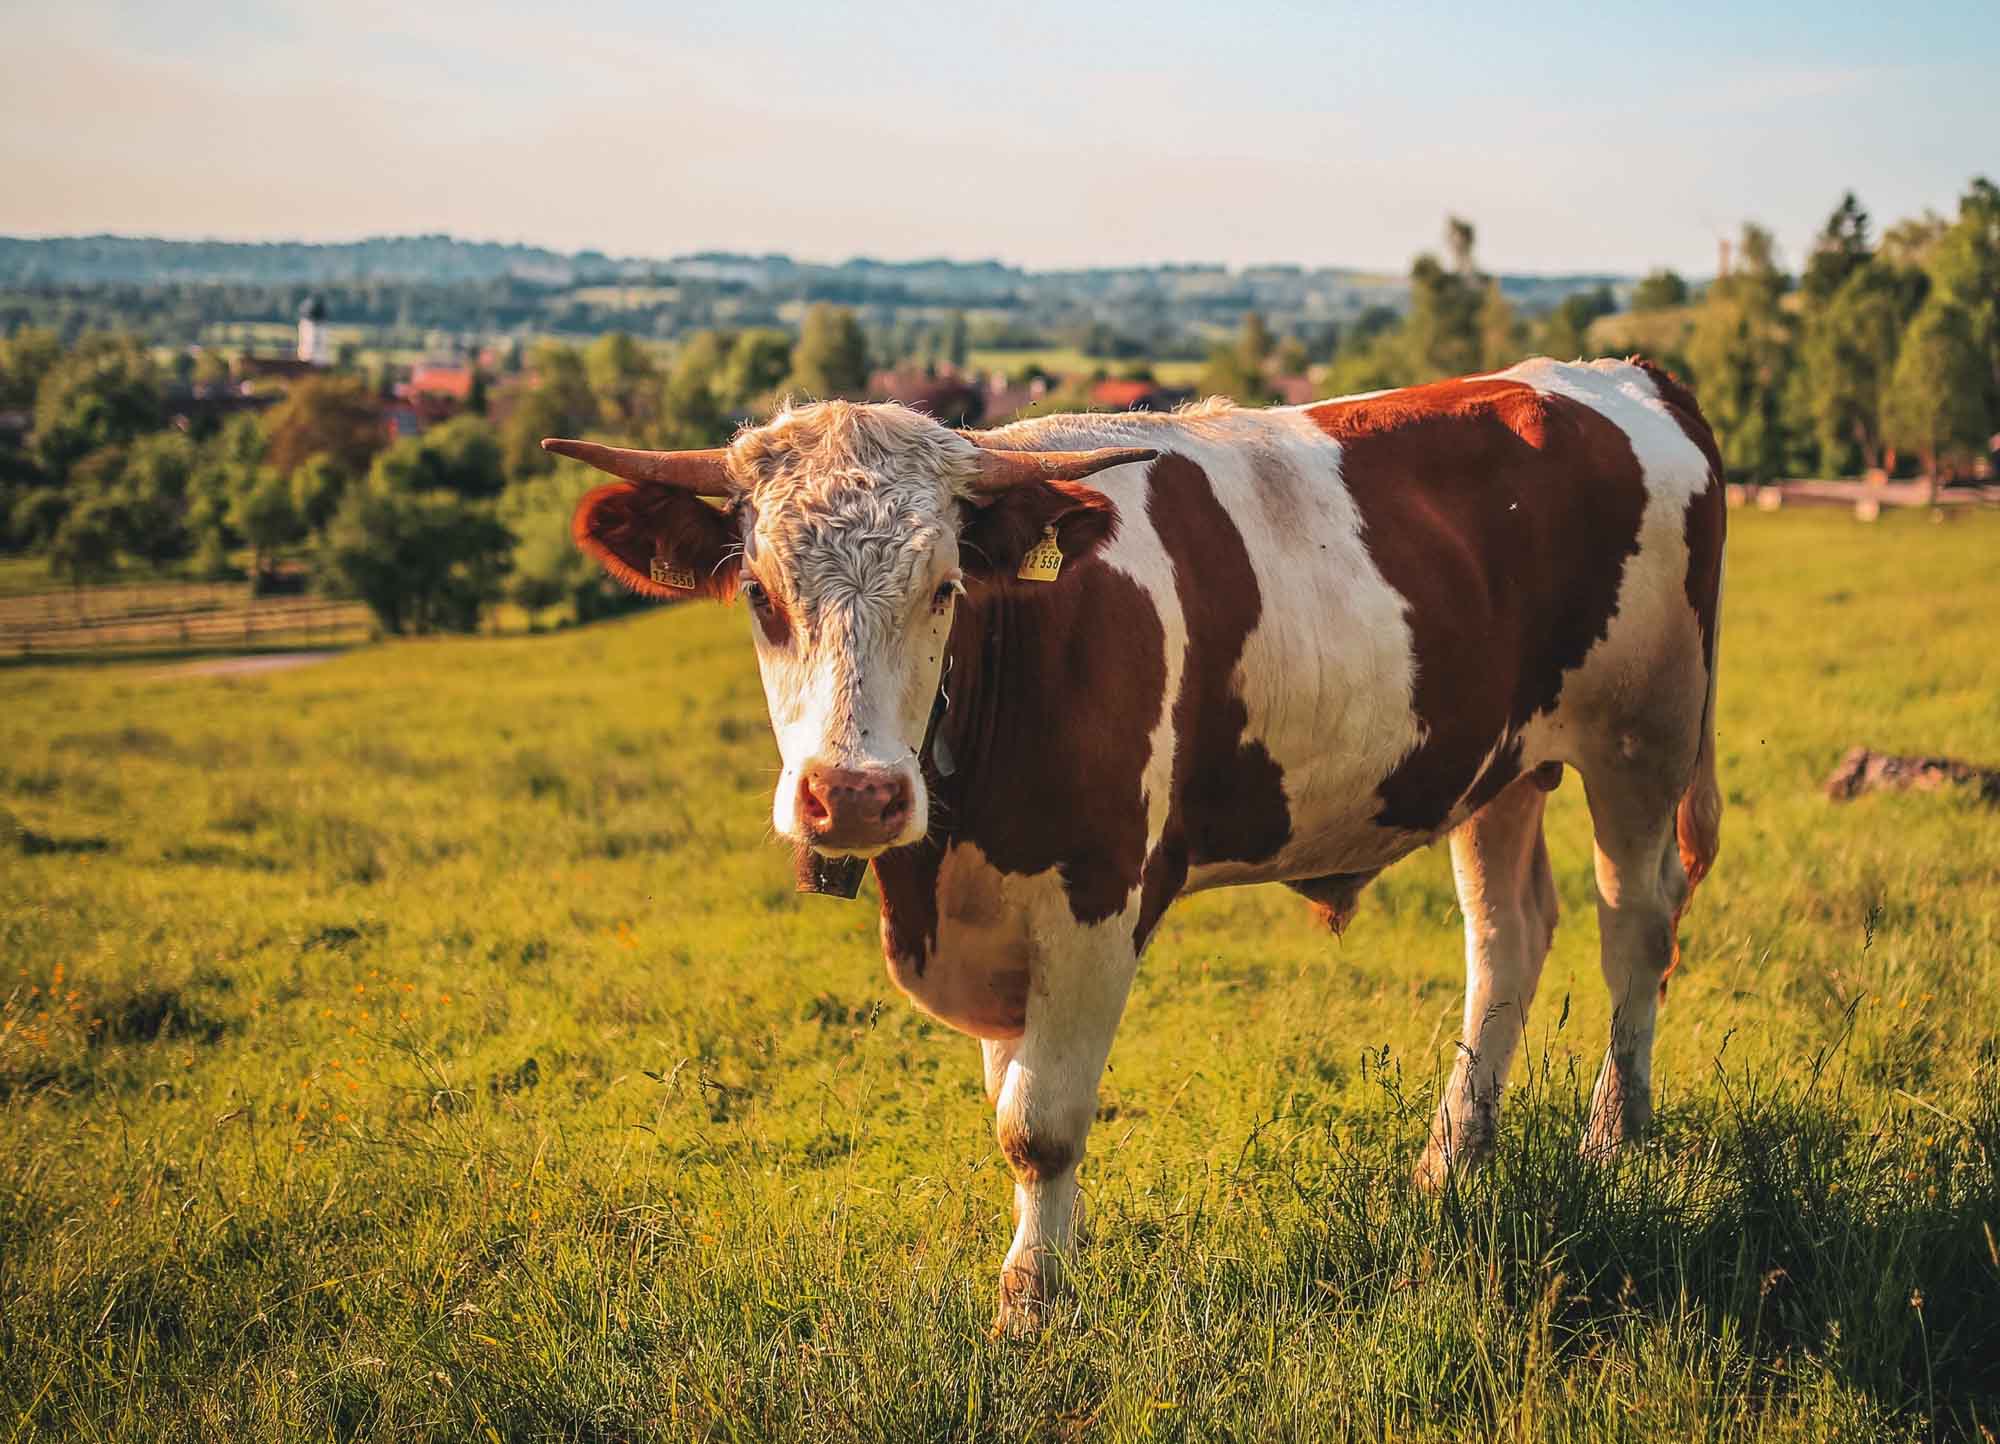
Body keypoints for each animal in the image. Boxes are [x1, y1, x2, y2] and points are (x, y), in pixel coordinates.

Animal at [551, 355, 1725, 1331]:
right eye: (759, 594)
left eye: (944, 588)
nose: (853, 795)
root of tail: (1618, 373)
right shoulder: (999, 931)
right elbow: (1010, 1099)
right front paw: (1043, 1267)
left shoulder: (1097, 897)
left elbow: (1039, 1124)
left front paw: (1031, 1305)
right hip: (1499, 767)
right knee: (1506, 937)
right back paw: (1452, 1160)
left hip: (1644, 733)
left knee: (1635, 924)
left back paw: (1615, 1135)